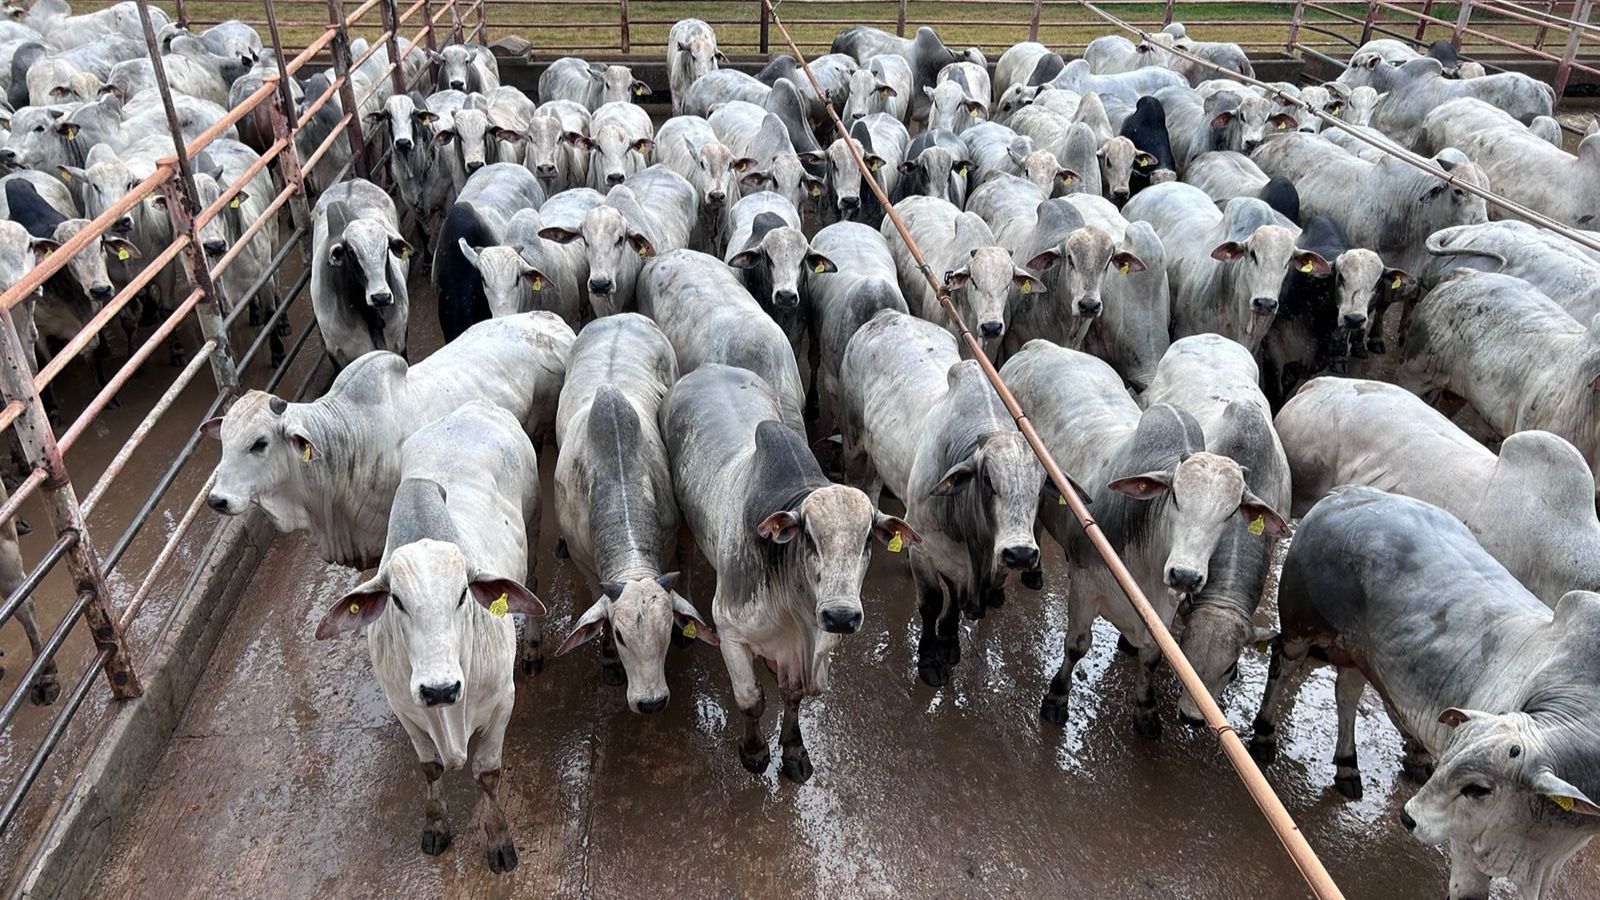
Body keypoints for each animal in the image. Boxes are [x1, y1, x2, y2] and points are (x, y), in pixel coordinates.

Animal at [659, 361, 915, 778]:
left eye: (867, 539)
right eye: (808, 536)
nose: (841, 616)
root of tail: (707, 368)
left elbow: (791, 698)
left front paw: (794, 750)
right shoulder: (730, 633)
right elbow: (751, 699)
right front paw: (754, 751)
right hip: (683, 523)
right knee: (684, 559)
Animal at [838, 305, 1049, 679]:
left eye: (1040, 487)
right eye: (988, 480)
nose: (1021, 554)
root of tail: (885, 314)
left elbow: (952, 602)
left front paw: (949, 643)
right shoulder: (925, 551)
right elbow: (932, 603)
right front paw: (928, 659)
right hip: (853, 443)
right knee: (858, 483)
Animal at [1254, 486, 1593, 896]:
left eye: (1478, 788)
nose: (1410, 818)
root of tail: (1346, 493)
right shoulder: (1467, 847)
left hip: (1358, 652)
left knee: (1346, 692)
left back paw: (1350, 765)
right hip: (1300, 626)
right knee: (1282, 665)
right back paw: (1264, 734)